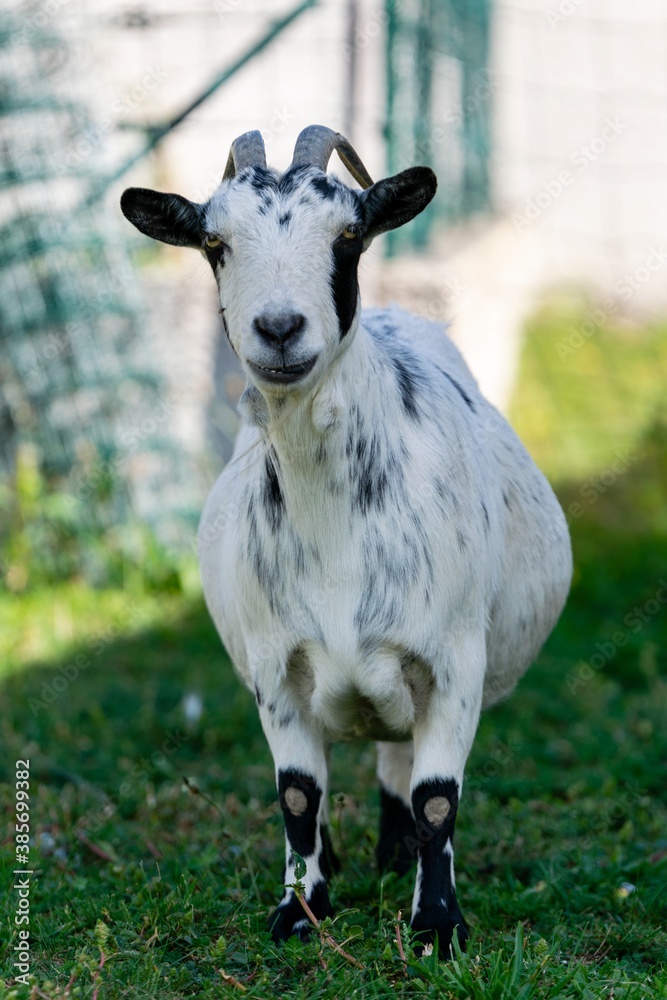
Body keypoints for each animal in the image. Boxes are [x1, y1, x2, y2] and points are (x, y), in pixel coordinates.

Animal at [121, 129, 576, 956]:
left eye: (348, 236)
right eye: (214, 242)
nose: (278, 329)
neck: (336, 534)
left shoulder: (453, 660)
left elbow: (436, 799)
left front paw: (437, 925)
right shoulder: (276, 667)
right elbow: (299, 795)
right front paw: (300, 908)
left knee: (399, 763)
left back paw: (395, 856)